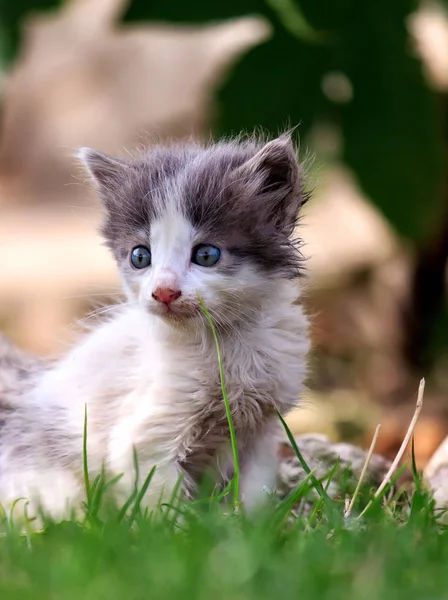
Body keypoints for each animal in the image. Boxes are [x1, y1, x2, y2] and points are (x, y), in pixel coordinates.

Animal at [0, 134, 310, 516]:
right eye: (140, 256)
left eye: (206, 254)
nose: (163, 291)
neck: (225, 343)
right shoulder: (143, 443)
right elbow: (164, 507)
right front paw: (184, 528)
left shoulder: (261, 433)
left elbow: (255, 495)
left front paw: (250, 526)